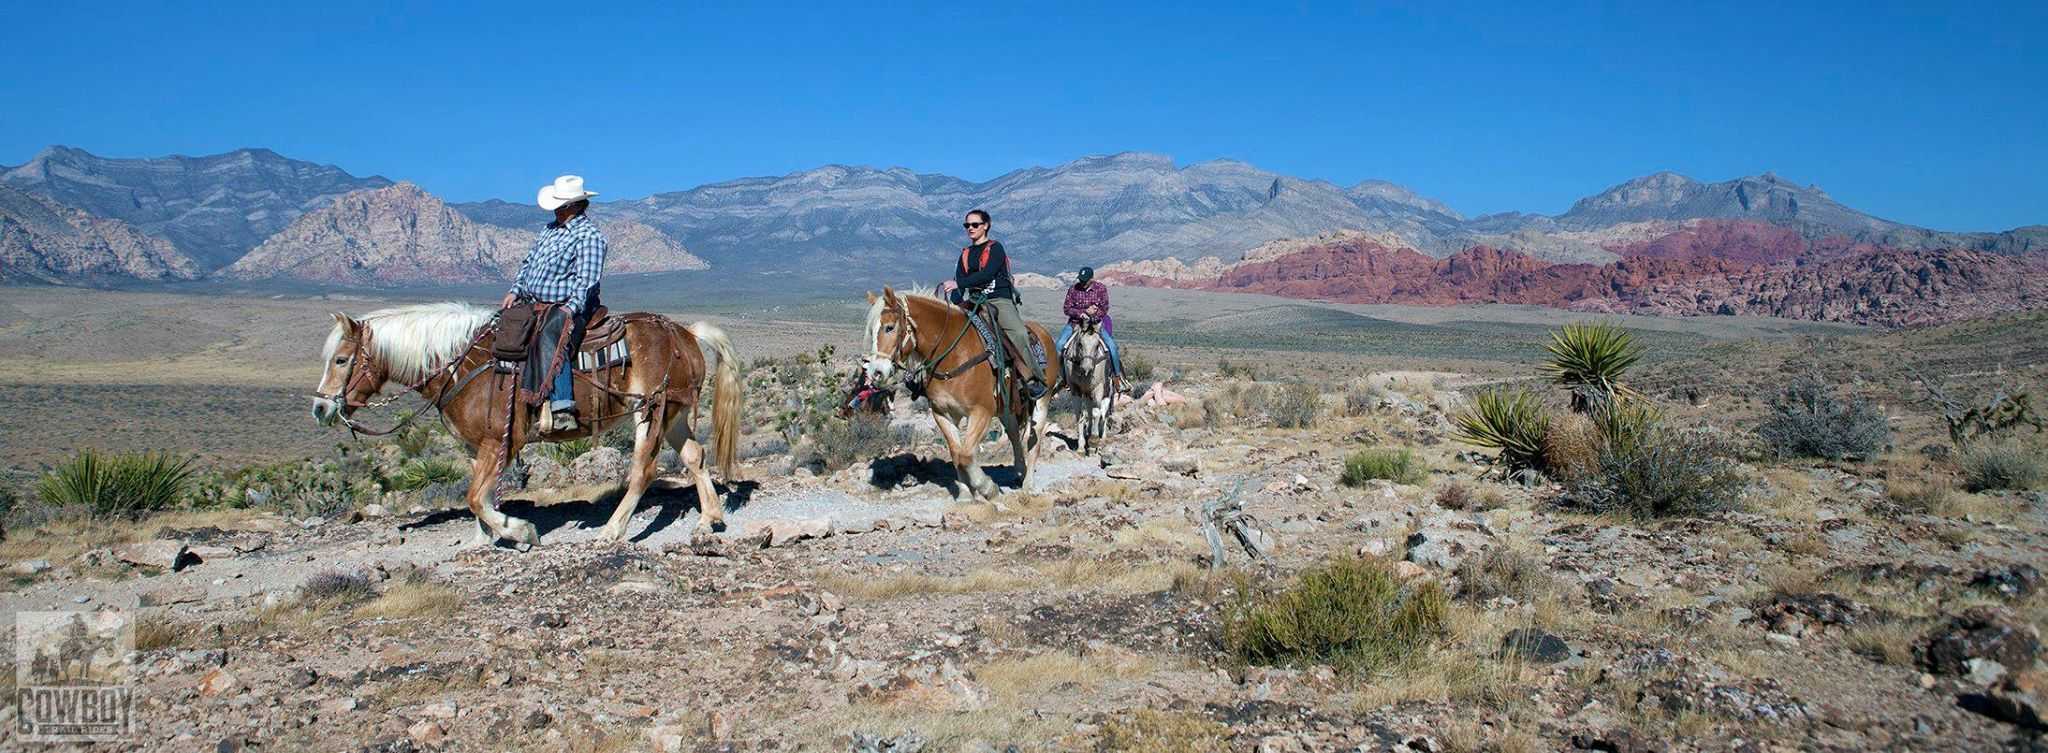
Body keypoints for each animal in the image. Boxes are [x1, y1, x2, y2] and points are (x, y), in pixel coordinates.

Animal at [307, 302, 741, 548]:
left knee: (643, 471)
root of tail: (685, 333)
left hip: (650, 412)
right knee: (696, 456)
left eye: (342, 359)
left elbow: (475, 496)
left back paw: (612, 532)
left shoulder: (504, 440)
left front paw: (518, 532)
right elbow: (482, 495)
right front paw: (484, 538)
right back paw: (708, 520)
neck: (463, 364)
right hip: (674, 414)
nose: (320, 408)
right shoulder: (477, 445)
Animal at [860, 286, 1064, 499]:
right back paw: (1019, 471)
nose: (875, 372)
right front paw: (966, 494)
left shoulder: (981, 412)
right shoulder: (944, 413)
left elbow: (966, 455)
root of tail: (1044, 333)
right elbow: (956, 453)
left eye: (889, 327)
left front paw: (987, 487)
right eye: (871, 331)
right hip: (1006, 408)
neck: (954, 354)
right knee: (1014, 433)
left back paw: (1028, 484)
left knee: (1034, 438)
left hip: (1042, 400)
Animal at [1064, 317, 1114, 452]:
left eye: (1097, 345)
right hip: (1088, 395)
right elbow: (1080, 415)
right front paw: (1081, 446)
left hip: (1107, 392)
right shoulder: (1076, 390)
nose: (1087, 368)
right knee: (1090, 413)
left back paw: (1102, 439)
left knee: (1103, 414)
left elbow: (1097, 413)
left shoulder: (1098, 388)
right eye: (1080, 344)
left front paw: (1094, 441)